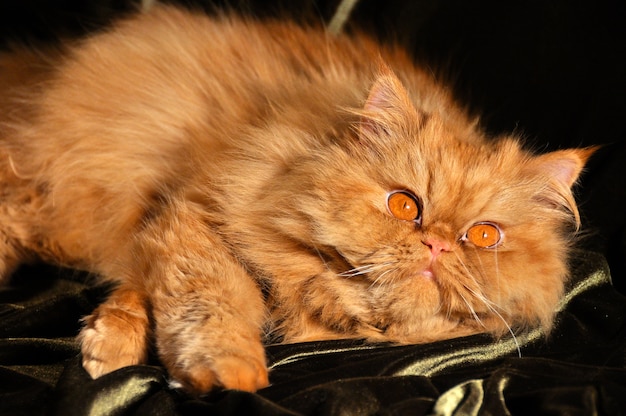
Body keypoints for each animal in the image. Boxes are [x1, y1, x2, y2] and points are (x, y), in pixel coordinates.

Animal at [0, 3, 592, 394]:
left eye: (483, 236)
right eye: (405, 205)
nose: (438, 247)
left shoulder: (169, 225)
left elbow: (149, 291)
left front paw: (116, 349)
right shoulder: (194, 216)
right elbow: (215, 299)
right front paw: (228, 375)